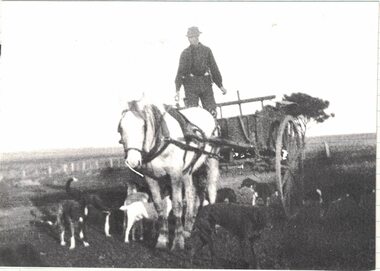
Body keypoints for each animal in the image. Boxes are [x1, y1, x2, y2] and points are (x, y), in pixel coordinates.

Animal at [118, 99, 220, 251]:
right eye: (121, 128)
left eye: (143, 126)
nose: (132, 161)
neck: (163, 140)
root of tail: (206, 112)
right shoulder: (151, 178)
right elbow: (159, 207)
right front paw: (162, 239)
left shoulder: (175, 175)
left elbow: (177, 206)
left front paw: (177, 242)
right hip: (188, 170)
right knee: (191, 194)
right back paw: (187, 229)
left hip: (211, 161)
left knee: (211, 190)